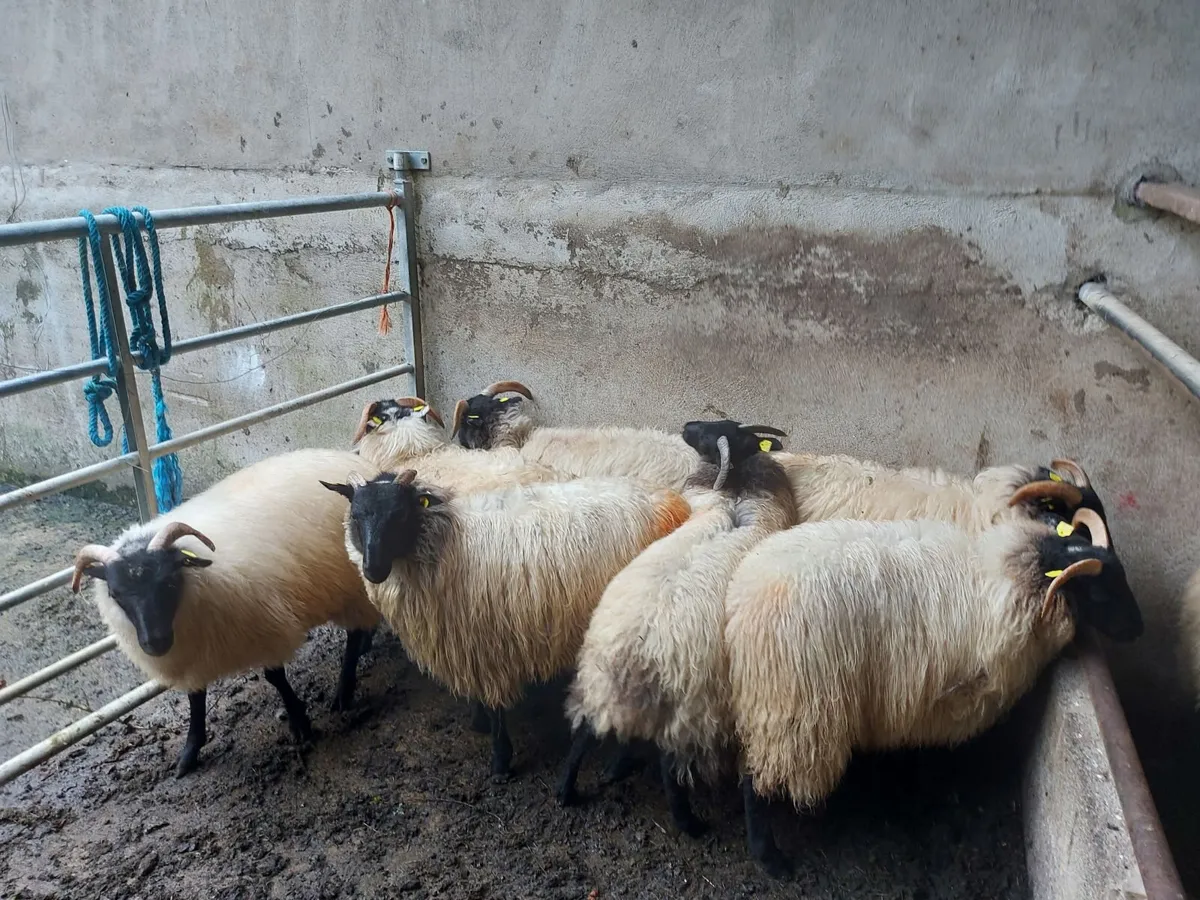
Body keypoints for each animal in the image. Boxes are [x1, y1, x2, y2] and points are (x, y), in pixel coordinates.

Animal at [70, 448, 384, 777]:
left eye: (169, 581)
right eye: (115, 594)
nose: (154, 643)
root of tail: (352, 460)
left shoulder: (266, 626)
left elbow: (275, 677)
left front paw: (299, 721)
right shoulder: (193, 653)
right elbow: (195, 699)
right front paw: (190, 752)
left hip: (354, 585)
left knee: (354, 632)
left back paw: (344, 689)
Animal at [322, 468, 693, 781]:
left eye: (398, 514)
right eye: (355, 516)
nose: (373, 570)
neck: (446, 541)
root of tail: (674, 500)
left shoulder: (490, 645)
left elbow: (497, 707)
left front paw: (500, 760)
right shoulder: (465, 642)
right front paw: (478, 722)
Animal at [557, 419, 797, 828]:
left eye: (714, 431)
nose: (687, 425)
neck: (733, 492)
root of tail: (637, 655)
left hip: (600, 682)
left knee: (584, 733)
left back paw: (567, 791)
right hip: (687, 707)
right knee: (670, 767)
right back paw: (689, 824)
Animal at [722, 505, 1141, 877]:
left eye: (1122, 576)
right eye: (1099, 594)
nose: (1138, 629)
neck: (1005, 574)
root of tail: (741, 607)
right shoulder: (940, 697)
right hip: (793, 710)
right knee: (754, 784)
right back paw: (771, 860)